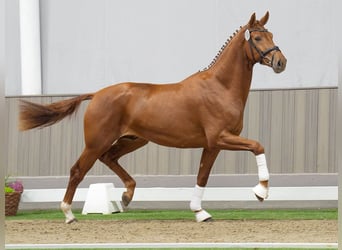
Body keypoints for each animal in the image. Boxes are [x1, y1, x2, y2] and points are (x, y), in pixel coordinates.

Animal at [18, 11, 286, 224]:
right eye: (258, 38)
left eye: (272, 34)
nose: (281, 62)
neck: (219, 87)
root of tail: (96, 94)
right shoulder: (220, 138)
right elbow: (257, 146)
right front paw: (261, 192)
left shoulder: (212, 145)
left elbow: (202, 176)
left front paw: (200, 213)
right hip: (96, 142)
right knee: (77, 171)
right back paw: (68, 214)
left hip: (133, 140)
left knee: (109, 158)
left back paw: (127, 196)